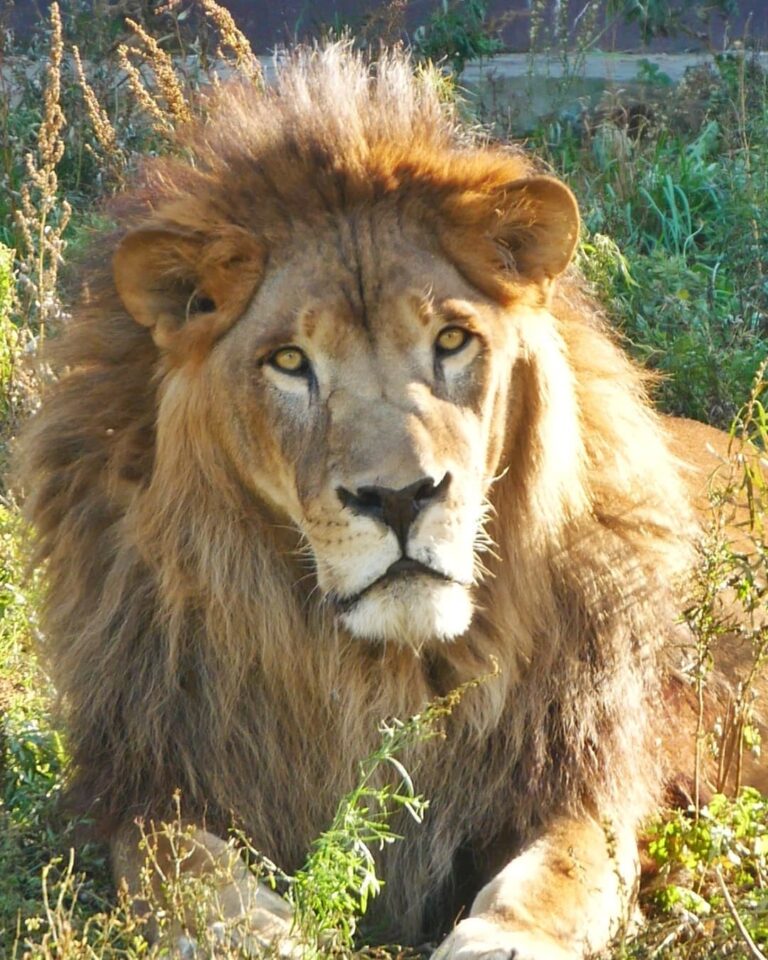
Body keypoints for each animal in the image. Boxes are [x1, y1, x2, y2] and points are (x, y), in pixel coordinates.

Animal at [15, 46, 767, 959]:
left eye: (452, 340)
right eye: (289, 361)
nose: (403, 498)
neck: (384, 669)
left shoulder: (583, 774)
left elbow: (556, 876)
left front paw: (502, 940)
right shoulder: (155, 777)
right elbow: (187, 877)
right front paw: (269, 936)